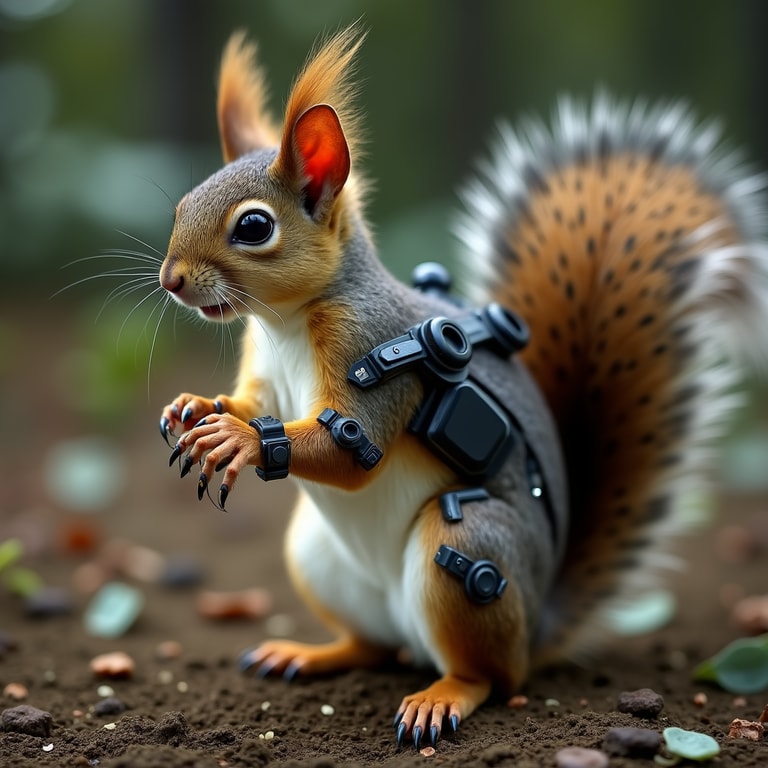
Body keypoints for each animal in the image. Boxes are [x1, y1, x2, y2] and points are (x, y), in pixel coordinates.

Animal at [156, 24, 768, 749]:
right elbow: (254, 402)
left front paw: (238, 439)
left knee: (489, 672)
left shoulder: (371, 348)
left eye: (254, 226)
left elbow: (352, 446)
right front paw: (199, 408)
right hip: (317, 558)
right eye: (182, 203)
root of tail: (536, 627)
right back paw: (309, 653)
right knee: (372, 646)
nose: (170, 280)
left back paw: (441, 696)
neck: (285, 321)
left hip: (466, 551)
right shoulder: (263, 367)